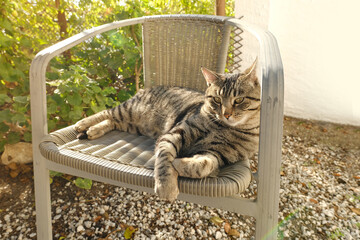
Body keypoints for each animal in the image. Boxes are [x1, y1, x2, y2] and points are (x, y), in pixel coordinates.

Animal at [74, 60, 260, 201]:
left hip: (132, 125)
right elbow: (164, 158)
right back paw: (83, 123)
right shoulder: (175, 133)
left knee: (111, 121)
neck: (225, 128)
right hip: (129, 110)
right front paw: (167, 186)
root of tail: (144, 89)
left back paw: (93, 130)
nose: (226, 114)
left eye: (239, 100)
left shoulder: (217, 154)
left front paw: (181, 164)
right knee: (107, 112)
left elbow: (205, 165)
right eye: (217, 99)